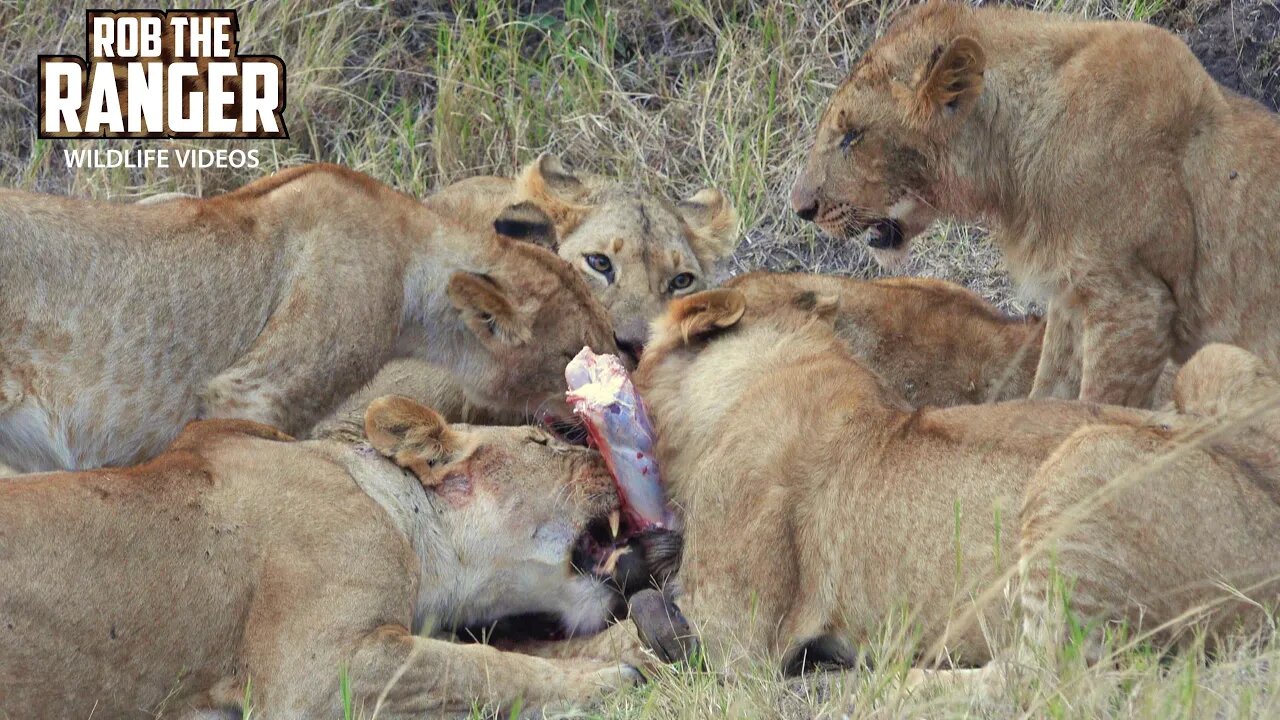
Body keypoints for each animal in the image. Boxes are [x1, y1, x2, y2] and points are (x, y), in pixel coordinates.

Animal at [2, 394, 660, 712]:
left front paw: (629, 647)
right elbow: (478, 665)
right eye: (543, 444)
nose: (607, 461)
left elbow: (496, 647)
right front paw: (605, 680)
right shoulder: (316, 674)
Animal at [611, 284, 1280, 671]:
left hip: (1087, 461)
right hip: (1214, 365)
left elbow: (641, 629)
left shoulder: (738, 634)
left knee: (1045, 678)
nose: (618, 339)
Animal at [788, 1, 1280, 409]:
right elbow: (1048, 394)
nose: (800, 208)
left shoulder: (1135, 305)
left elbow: (1092, 409)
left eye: (853, 135)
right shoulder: (1069, 298)